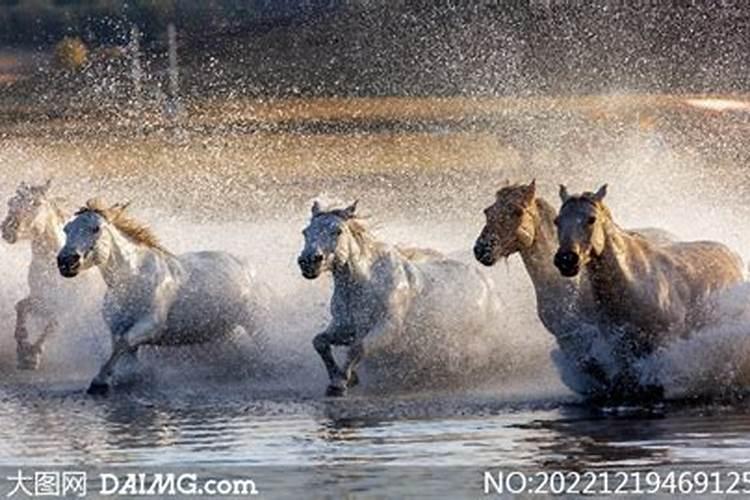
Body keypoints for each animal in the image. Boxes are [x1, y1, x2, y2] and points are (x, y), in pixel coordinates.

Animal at [1, 180, 100, 368]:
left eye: (37, 204)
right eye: (10, 203)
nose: (8, 230)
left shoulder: (68, 307)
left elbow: (53, 324)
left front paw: (32, 355)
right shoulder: (41, 298)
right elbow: (21, 306)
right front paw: (23, 347)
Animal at [58, 197, 270, 392]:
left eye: (96, 228)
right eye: (66, 229)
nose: (66, 261)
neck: (134, 280)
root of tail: (250, 267)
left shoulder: (151, 325)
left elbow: (122, 345)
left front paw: (100, 381)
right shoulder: (117, 329)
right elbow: (122, 350)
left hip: (255, 322)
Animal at [296, 201, 502, 396]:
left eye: (337, 231)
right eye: (305, 232)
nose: (309, 261)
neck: (366, 284)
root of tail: (488, 283)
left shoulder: (389, 327)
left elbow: (358, 348)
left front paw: (340, 383)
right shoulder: (345, 327)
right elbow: (320, 342)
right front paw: (343, 378)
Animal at [556, 184, 744, 378]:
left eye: (591, 219)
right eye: (557, 221)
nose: (566, 259)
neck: (634, 285)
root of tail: (734, 256)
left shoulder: (664, 341)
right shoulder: (622, 349)